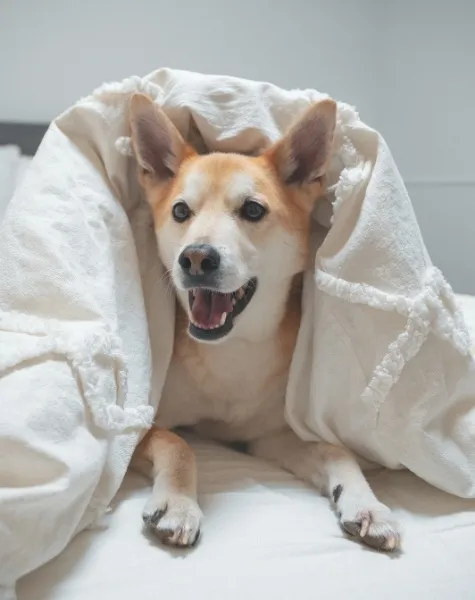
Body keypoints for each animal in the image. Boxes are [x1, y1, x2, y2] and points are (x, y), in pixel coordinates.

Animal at [127, 95, 402, 552]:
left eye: (253, 210)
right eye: (181, 211)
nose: (195, 258)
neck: (230, 354)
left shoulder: (267, 435)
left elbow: (336, 450)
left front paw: (366, 504)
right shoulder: (138, 425)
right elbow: (178, 443)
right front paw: (179, 504)